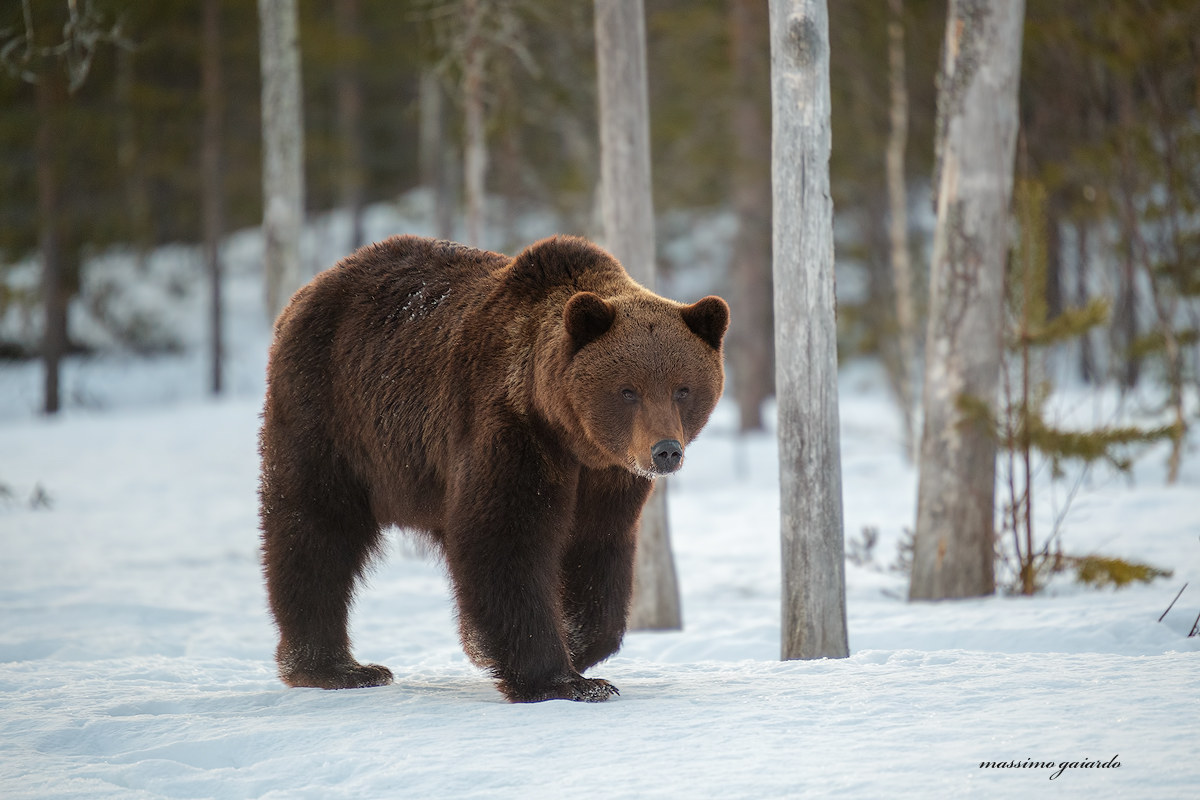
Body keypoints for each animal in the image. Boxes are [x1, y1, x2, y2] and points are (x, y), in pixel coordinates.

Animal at [258, 234, 728, 702]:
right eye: (628, 390)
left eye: (683, 389)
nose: (665, 451)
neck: (567, 432)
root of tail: (307, 291)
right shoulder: (509, 433)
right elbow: (504, 540)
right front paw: (562, 679)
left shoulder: (608, 477)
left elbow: (596, 552)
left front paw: (576, 645)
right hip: (331, 415)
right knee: (316, 530)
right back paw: (337, 667)